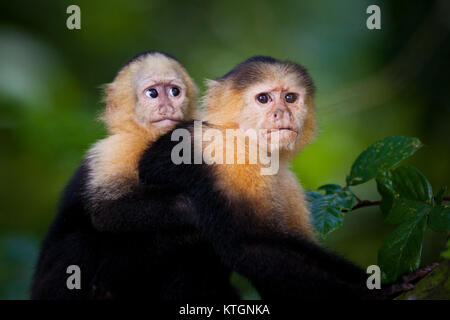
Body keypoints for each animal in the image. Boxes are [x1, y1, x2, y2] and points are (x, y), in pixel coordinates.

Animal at [31, 50, 213, 300]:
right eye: (153, 93)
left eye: (175, 91)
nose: (167, 107)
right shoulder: (117, 149)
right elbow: (107, 211)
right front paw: (194, 211)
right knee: (81, 240)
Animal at [142, 55, 436, 300]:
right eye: (263, 99)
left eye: (291, 98)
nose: (282, 113)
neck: (247, 142)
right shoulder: (223, 155)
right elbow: (251, 247)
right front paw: (381, 288)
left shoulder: (288, 183)